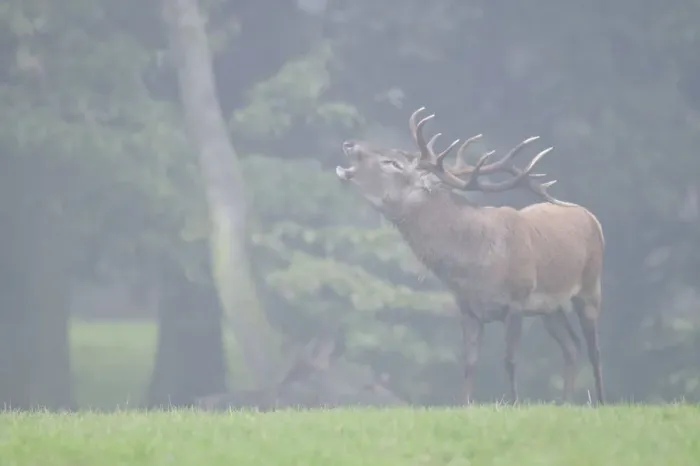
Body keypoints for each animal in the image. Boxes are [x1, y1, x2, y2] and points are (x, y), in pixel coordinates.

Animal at [335, 107, 605, 405]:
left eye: (392, 163)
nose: (350, 144)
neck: (475, 266)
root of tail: (591, 216)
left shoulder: (517, 299)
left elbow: (510, 359)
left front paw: (514, 403)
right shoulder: (467, 307)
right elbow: (470, 362)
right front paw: (465, 404)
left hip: (590, 285)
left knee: (594, 349)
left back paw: (600, 401)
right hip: (550, 307)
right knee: (572, 345)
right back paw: (566, 401)